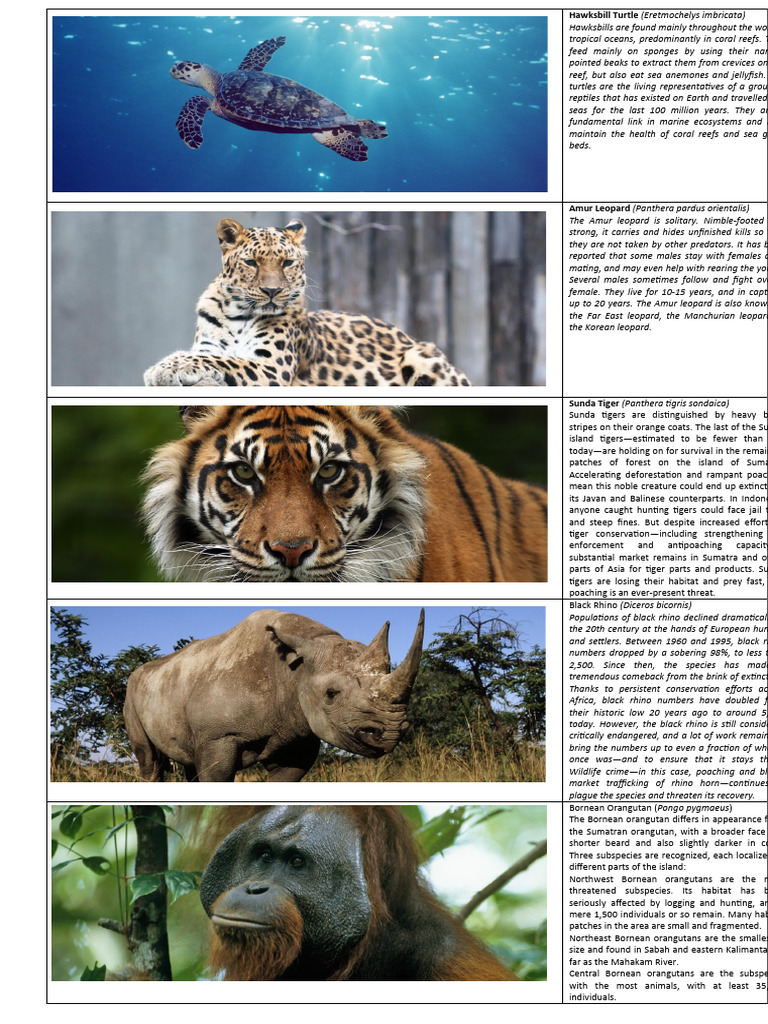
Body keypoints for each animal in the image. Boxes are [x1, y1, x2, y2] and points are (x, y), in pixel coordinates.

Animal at [142, 219, 471, 388]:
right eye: (251, 262)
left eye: (287, 263)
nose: (272, 290)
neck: (239, 314)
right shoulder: (209, 345)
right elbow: (209, 355)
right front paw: (167, 366)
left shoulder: (272, 367)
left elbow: (227, 361)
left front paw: (166, 367)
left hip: (422, 357)